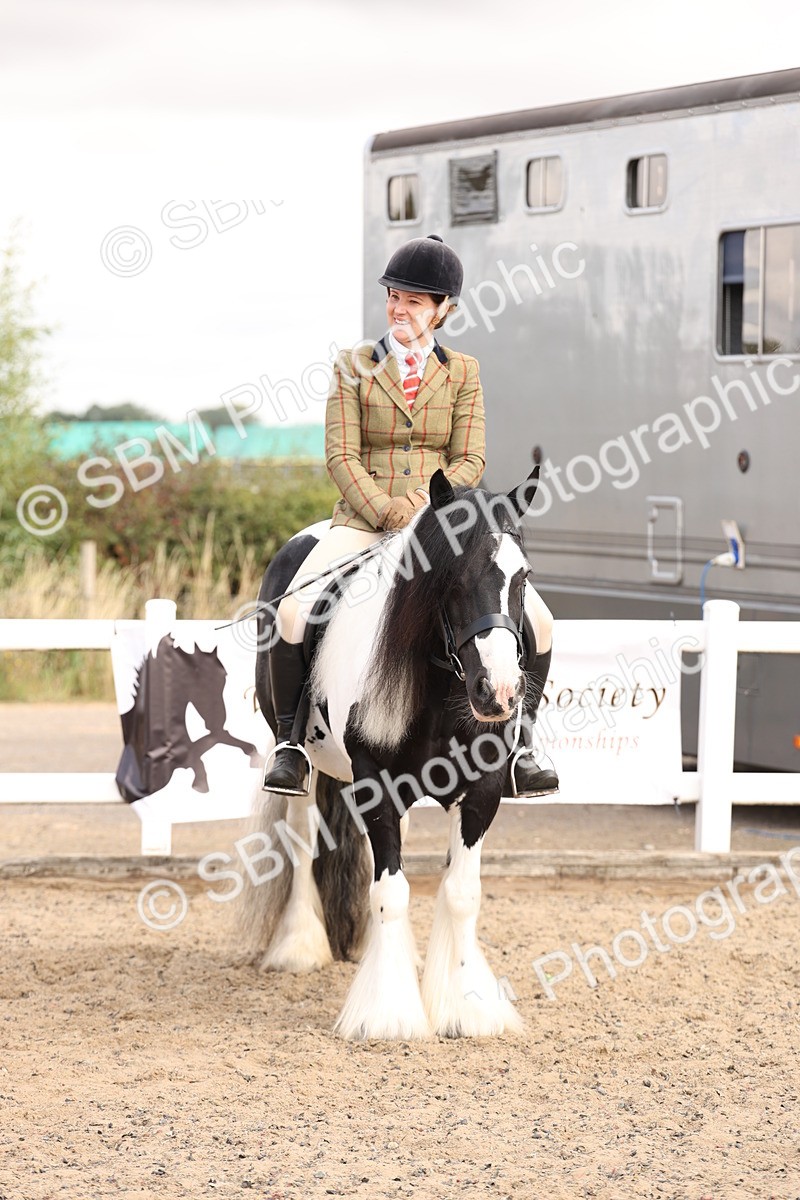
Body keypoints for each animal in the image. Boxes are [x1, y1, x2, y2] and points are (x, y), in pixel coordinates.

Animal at [241, 468, 540, 1040]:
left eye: (523, 577)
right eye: (451, 577)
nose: (498, 693)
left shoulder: (483, 788)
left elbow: (460, 892)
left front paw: (466, 1007)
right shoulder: (376, 784)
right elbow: (391, 894)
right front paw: (387, 1013)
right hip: (306, 765)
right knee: (301, 839)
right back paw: (300, 946)